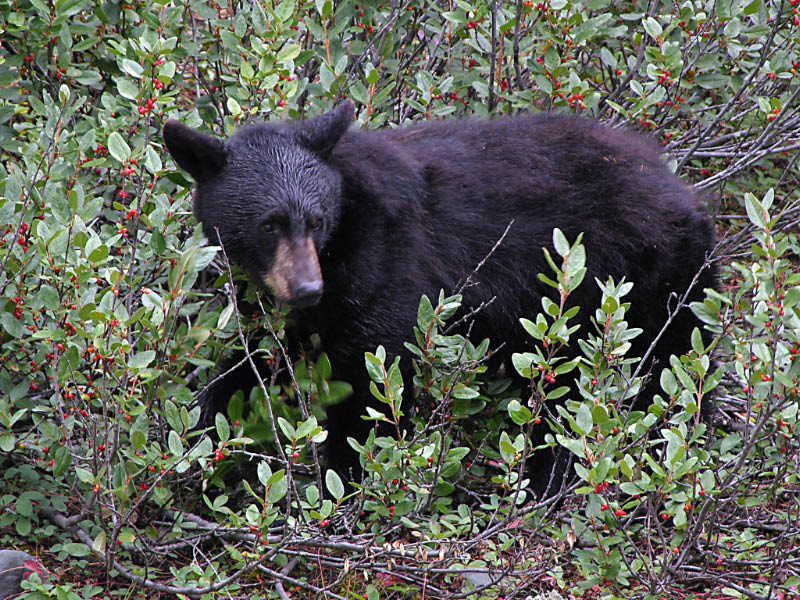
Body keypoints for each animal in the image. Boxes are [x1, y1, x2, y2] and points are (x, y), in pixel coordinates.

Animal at [162, 101, 716, 495]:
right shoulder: (282, 306)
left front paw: (348, 483)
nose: (305, 289)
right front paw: (197, 433)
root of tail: (684, 193)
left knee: (666, 375)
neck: (342, 240)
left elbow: (372, 377)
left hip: (651, 279)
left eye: (315, 220)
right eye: (267, 225)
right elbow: (254, 359)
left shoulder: (388, 263)